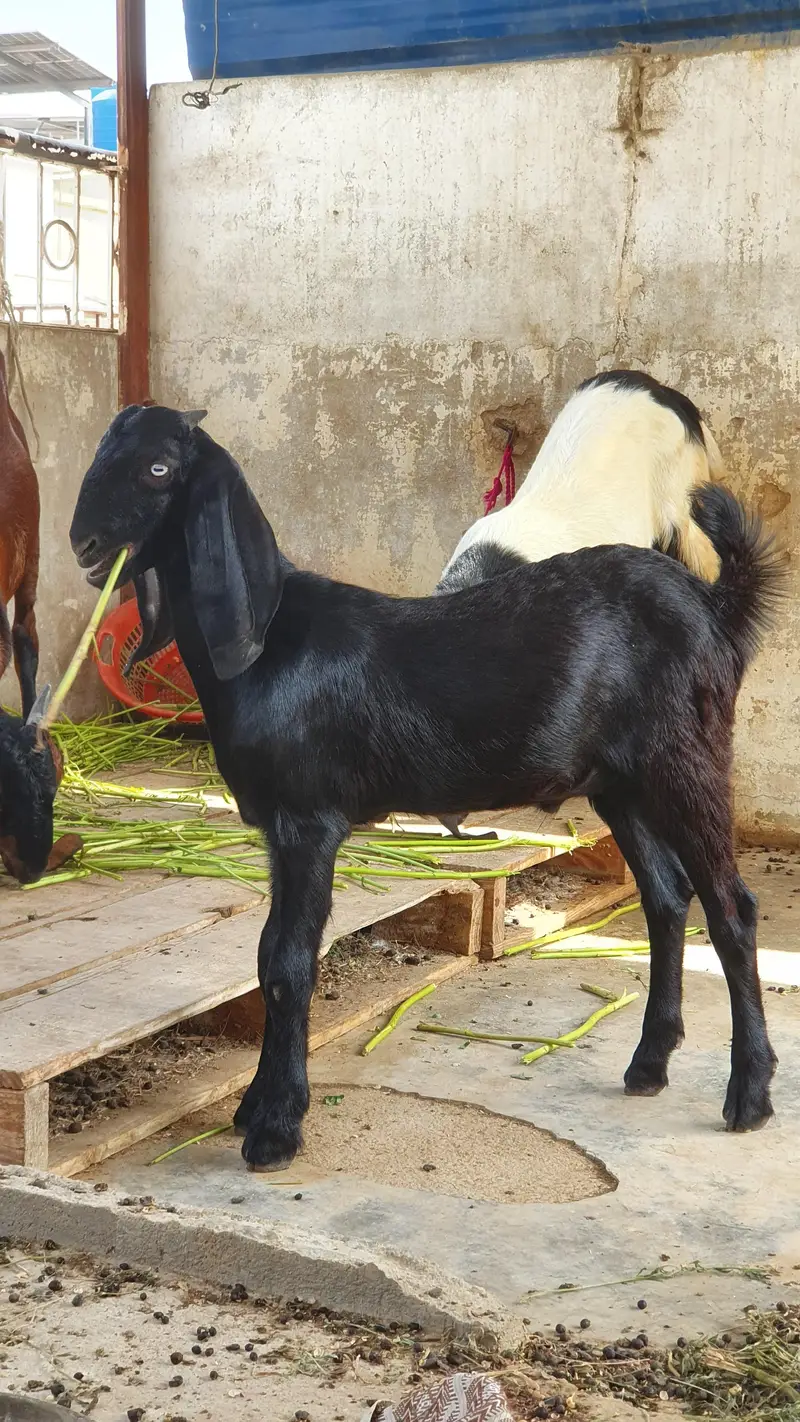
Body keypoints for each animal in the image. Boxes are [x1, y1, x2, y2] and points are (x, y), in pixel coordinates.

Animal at [70, 405, 781, 1171]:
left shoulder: (307, 821)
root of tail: (715, 607)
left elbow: (289, 962)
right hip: (623, 784)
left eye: (160, 469)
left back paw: (749, 1095)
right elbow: (265, 957)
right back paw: (649, 1063)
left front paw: (276, 1128)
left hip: (687, 761)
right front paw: (254, 1106)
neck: (269, 640)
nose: (83, 541)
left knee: (731, 908)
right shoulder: (279, 829)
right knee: (666, 899)